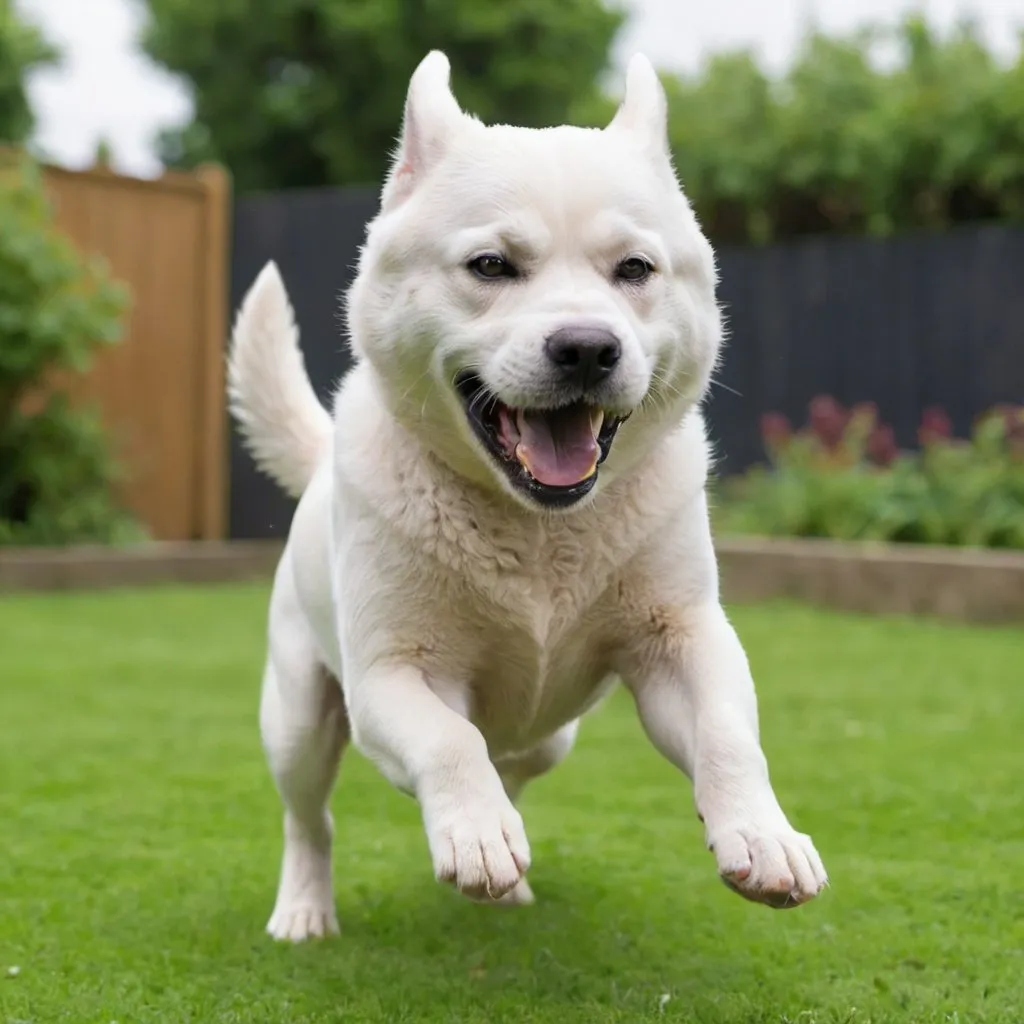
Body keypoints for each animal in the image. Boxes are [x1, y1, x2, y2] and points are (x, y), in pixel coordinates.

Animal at [228, 51, 827, 937]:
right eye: (491, 266)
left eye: (635, 269)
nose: (586, 348)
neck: (542, 531)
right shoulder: (391, 675)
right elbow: (450, 742)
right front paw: (474, 832)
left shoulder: (682, 639)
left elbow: (727, 734)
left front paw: (763, 834)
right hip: (299, 720)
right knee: (313, 816)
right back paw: (306, 907)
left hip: (554, 736)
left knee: (514, 757)